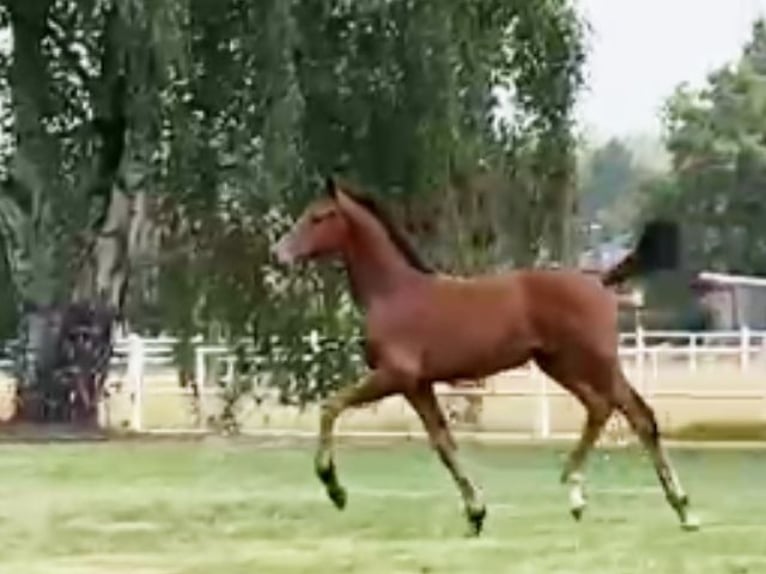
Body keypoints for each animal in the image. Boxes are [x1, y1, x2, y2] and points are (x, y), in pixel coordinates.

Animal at [272, 178, 700, 536]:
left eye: (318, 216)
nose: (279, 254)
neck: (394, 293)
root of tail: (598, 281)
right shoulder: (419, 385)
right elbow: (444, 444)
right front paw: (476, 513)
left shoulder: (396, 376)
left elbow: (331, 406)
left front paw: (334, 487)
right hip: (560, 364)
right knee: (602, 408)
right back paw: (586, 497)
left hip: (594, 360)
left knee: (637, 414)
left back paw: (679, 508)